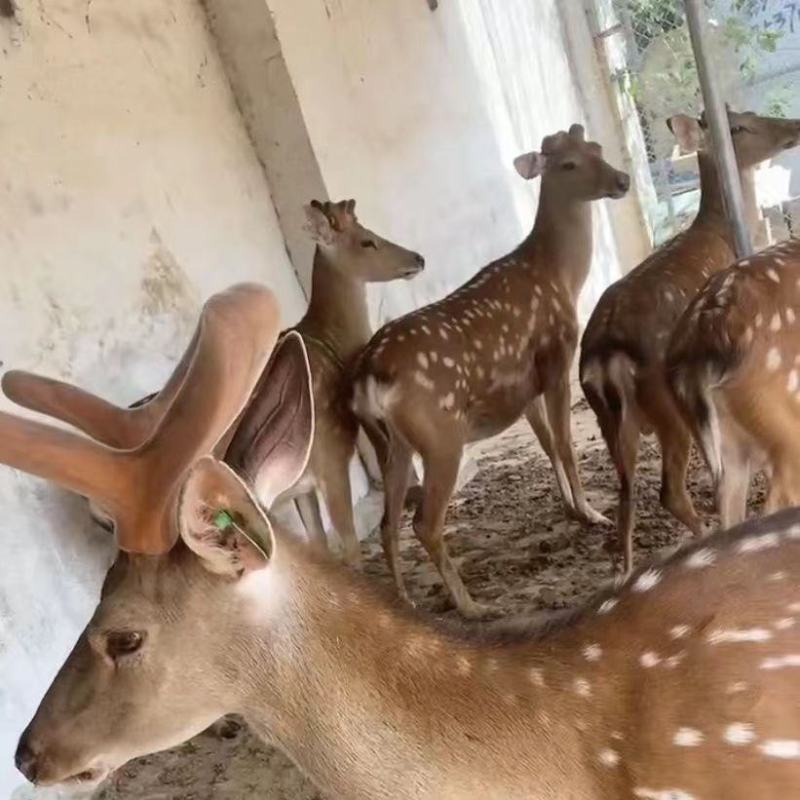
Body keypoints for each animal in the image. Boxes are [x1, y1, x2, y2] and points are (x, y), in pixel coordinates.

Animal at [2, 199, 424, 569]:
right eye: (367, 240)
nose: (417, 259)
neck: (331, 347)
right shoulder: (331, 457)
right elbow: (349, 547)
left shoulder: (300, 485)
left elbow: (320, 546)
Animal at [352, 124, 630, 619]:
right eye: (567, 164)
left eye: (594, 147)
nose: (622, 180)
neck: (562, 277)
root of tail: (369, 372)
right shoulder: (556, 361)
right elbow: (565, 443)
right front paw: (592, 513)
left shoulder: (525, 384)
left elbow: (547, 444)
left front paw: (569, 507)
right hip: (442, 435)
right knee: (424, 522)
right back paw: (472, 606)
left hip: (394, 442)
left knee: (388, 522)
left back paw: (405, 600)